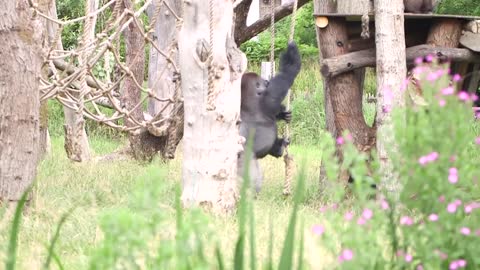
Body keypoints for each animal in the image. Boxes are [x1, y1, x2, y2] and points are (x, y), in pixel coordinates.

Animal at [238, 42, 302, 193]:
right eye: (264, 83)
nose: (267, 81)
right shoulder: (267, 99)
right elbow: (286, 75)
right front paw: (291, 56)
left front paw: (283, 115)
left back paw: (279, 147)